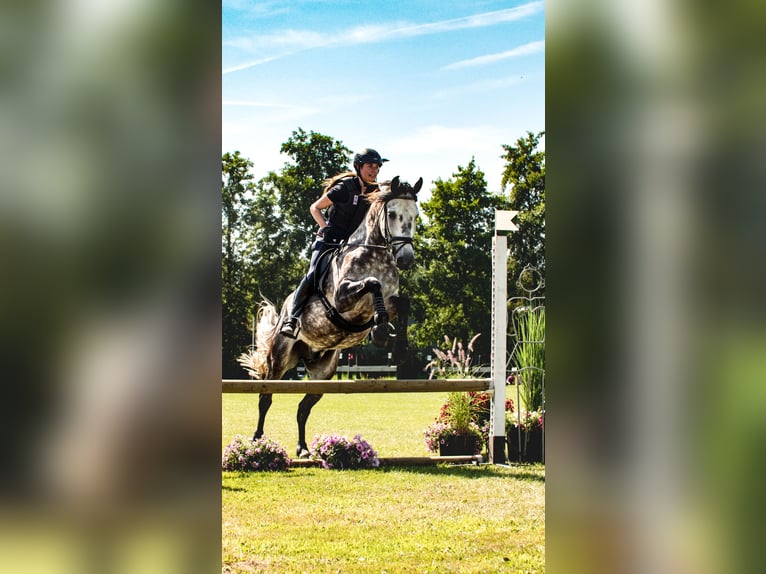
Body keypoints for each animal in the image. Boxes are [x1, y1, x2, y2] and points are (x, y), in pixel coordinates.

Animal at [239, 175, 422, 456]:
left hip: (323, 372)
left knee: (303, 407)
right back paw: (257, 440)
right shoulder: (341, 299)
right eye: (392, 214)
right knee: (265, 397)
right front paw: (380, 329)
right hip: (279, 360)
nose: (406, 259)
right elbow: (372, 284)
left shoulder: (391, 300)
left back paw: (303, 448)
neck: (375, 253)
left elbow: (403, 303)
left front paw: (394, 342)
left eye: (416, 215)